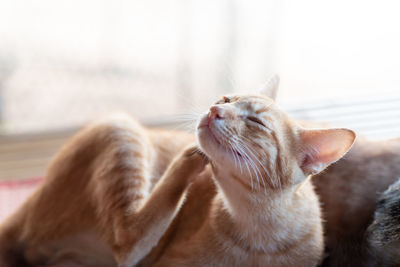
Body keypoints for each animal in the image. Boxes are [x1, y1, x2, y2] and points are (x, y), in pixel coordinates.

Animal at [0, 92, 356, 267]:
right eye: (226, 99)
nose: (213, 110)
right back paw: (189, 155)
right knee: (127, 243)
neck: (259, 231)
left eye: (255, 121)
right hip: (122, 127)